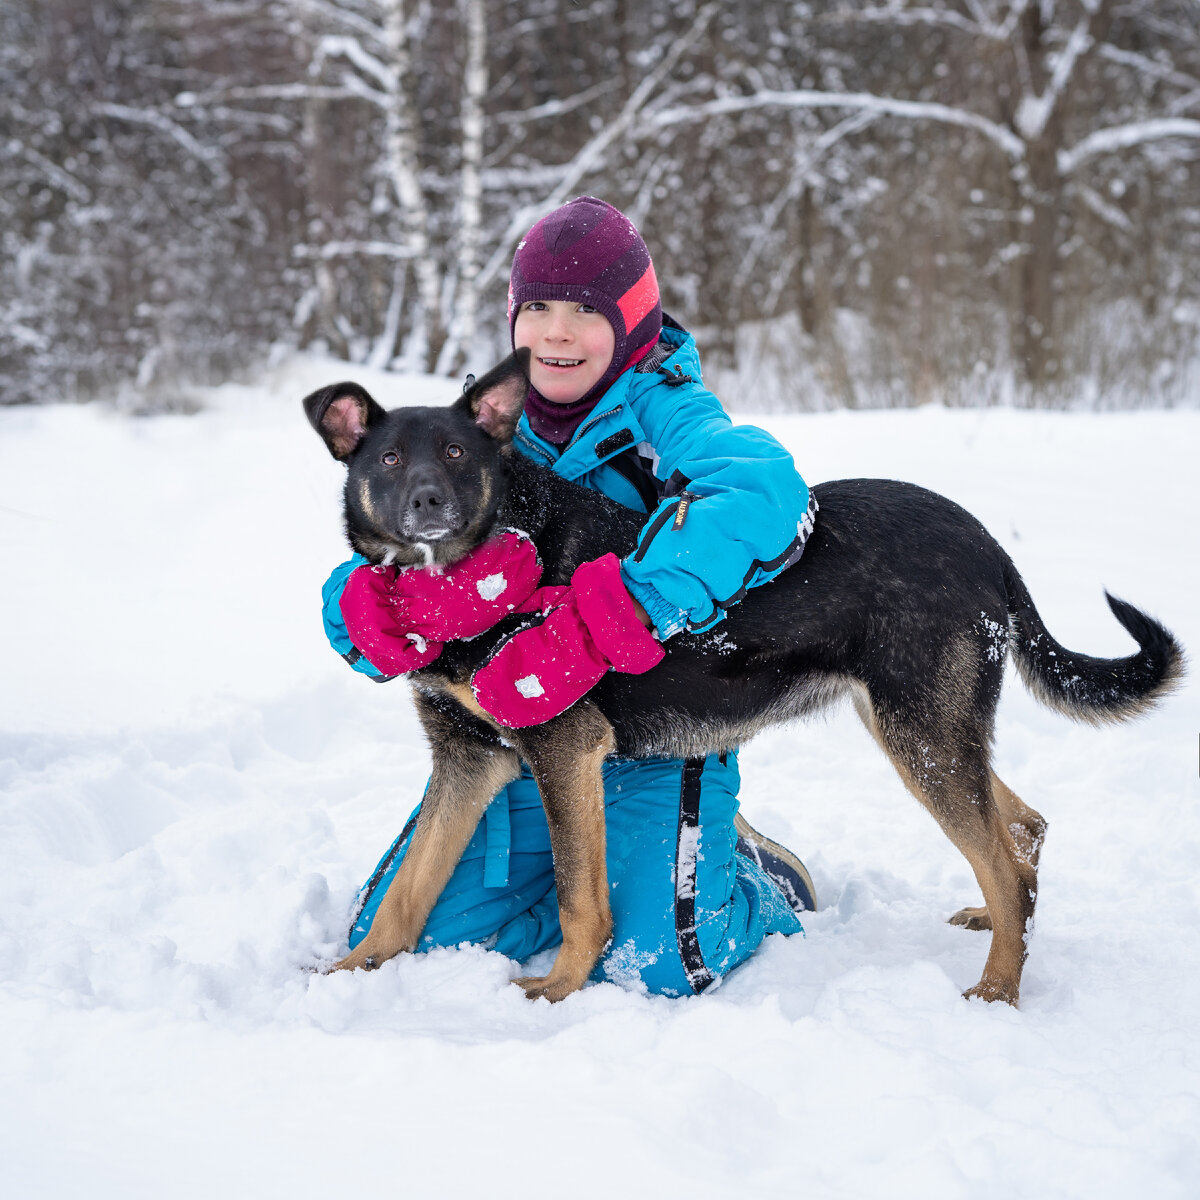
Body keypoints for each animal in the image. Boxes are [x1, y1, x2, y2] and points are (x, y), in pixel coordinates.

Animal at [304, 350, 1185, 1008]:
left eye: (457, 454)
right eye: (389, 458)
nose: (426, 502)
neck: (474, 572)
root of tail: (987, 543)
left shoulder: (561, 749)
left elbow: (580, 895)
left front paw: (558, 988)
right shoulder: (469, 758)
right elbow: (407, 891)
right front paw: (349, 972)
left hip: (921, 733)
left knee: (1009, 865)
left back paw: (997, 990)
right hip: (921, 726)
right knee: (1024, 830)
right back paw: (992, 930)